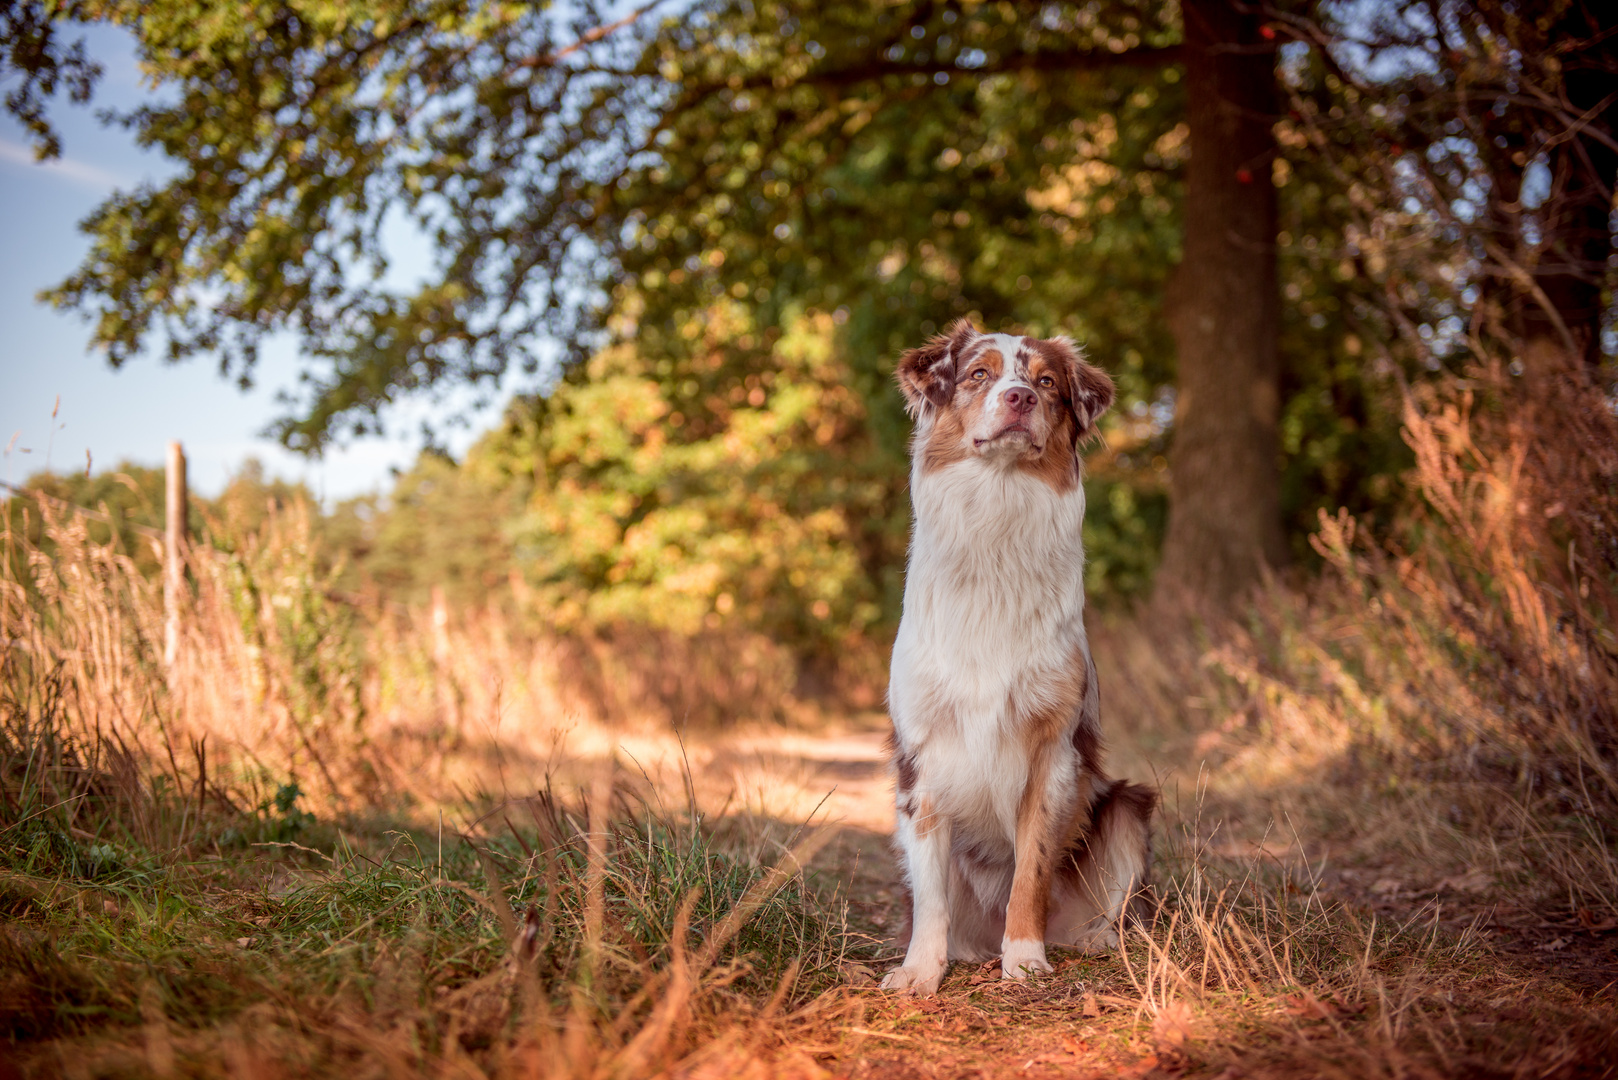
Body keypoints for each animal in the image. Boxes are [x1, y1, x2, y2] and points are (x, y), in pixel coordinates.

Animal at [880, 318, 1158, 997]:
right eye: (979, 373)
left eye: (1048, 382)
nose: (1020, 398)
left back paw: (1092, 940)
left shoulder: (1052, 751)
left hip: (1126, 806)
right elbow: (931, 892)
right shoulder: (920, 758)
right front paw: (920, 972)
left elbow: (1030, 870)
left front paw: (1026, 960)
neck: (995, 523)